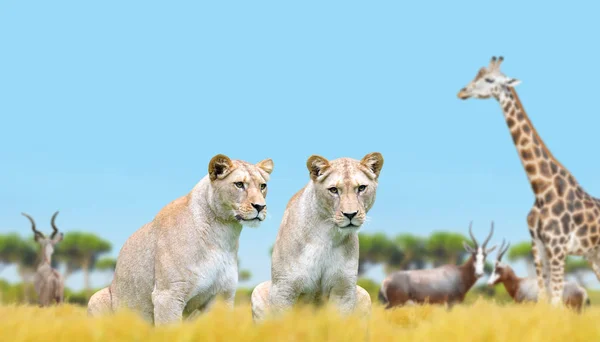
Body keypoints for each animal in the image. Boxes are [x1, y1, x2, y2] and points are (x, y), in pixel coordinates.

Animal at [460, 56, 600, 308]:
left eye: (490, 79)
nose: (462, 92)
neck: (542, 189)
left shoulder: (558, 248)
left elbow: (555, 301)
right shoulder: (538, 246)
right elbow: (543, 297)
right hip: (593, 254)